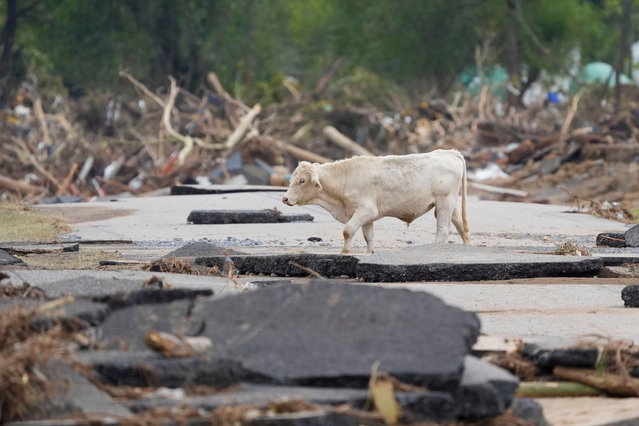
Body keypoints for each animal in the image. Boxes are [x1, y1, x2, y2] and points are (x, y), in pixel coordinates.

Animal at [282, 149, 468, 253]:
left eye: (302, 180)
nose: (285, 198)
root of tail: (449, 152)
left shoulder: (366, 210)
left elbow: (348, 231)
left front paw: (345, 252)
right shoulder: (366, 217)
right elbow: (369, 238)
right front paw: (370, 252)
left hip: (444, 203)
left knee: (443, 230)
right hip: (450, 204)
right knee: (461, 226)